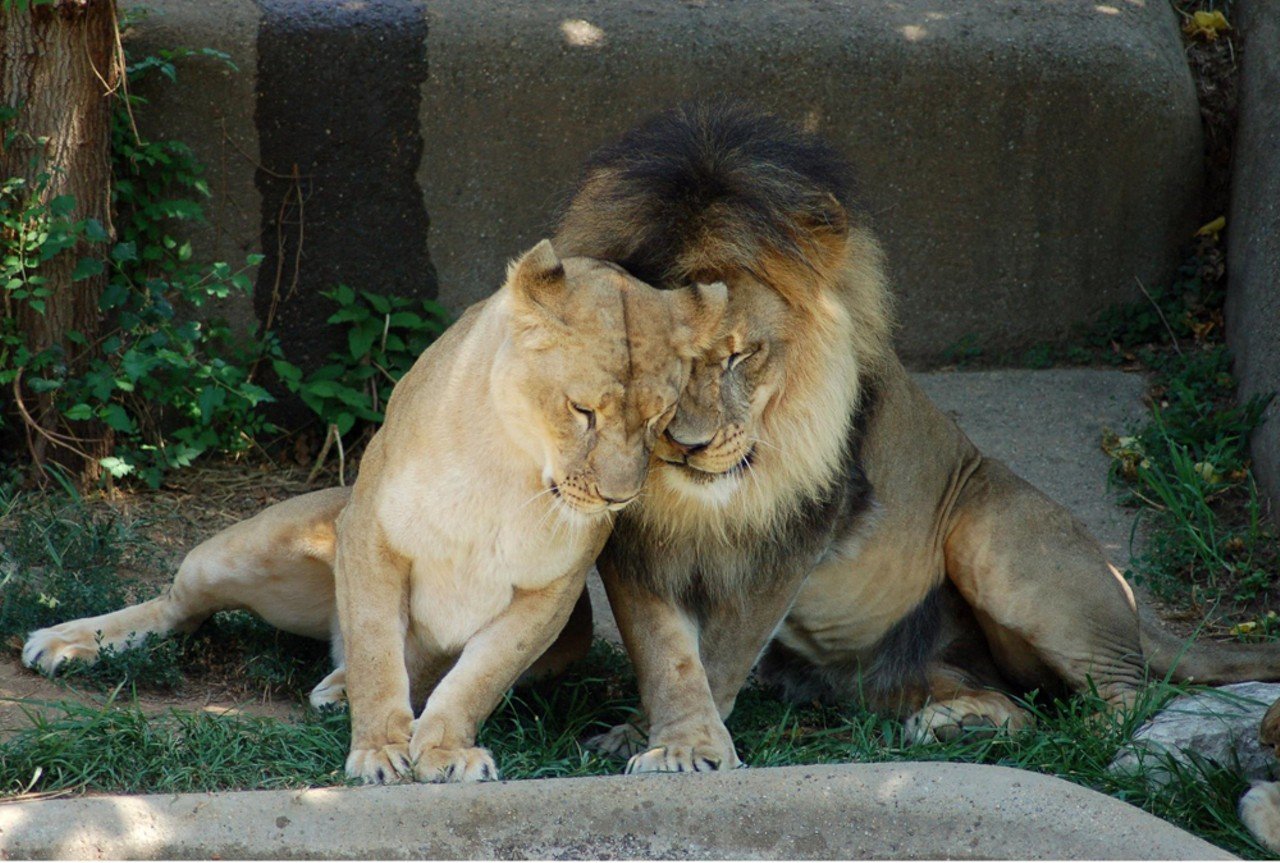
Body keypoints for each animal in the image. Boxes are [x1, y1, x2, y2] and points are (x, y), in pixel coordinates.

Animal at [22, 236, 732, 778]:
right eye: (582, 410)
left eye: (661, 418)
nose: (620, 497)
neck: (514, 471)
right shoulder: (371, 535)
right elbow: (374, 649)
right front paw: (381, 750)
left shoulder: (550, 593)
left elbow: (478, 675)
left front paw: (443, 749)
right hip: (244, 549)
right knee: (180, 608)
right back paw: (66, 642)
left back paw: (336, 689)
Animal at [555, 101, 1280, 773]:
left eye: (741, 355)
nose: (688, 445)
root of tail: (1131, 607)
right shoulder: (628, 540)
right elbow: (662, 651)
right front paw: (651, 735)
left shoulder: (799, 532)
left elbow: (721, 652)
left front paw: (692, 749)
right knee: (1021, 704)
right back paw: (963, 727)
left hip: (994, 537)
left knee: (1127, 692)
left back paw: (1099, 748)